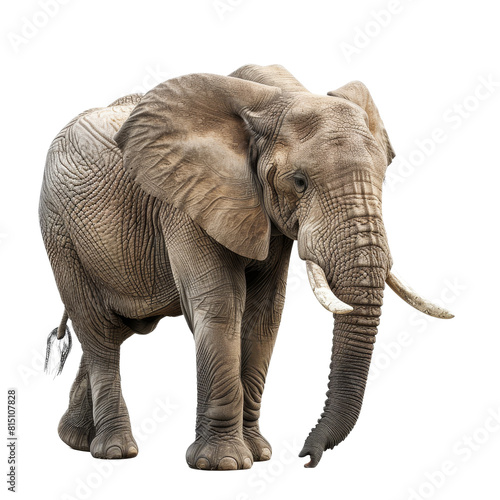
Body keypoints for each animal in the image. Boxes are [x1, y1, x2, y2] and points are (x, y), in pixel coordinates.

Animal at [39, 63, 454, 468]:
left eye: (383, 176)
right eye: (299, 182)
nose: (306, 456)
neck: (278, 96)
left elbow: (264, 314)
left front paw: (259, 454)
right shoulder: (186, 200)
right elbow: (221, 304)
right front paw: (222, 463)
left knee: (116, 329)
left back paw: (76, 440)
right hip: (59, 231)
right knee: (97, 328)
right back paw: (115, 451)